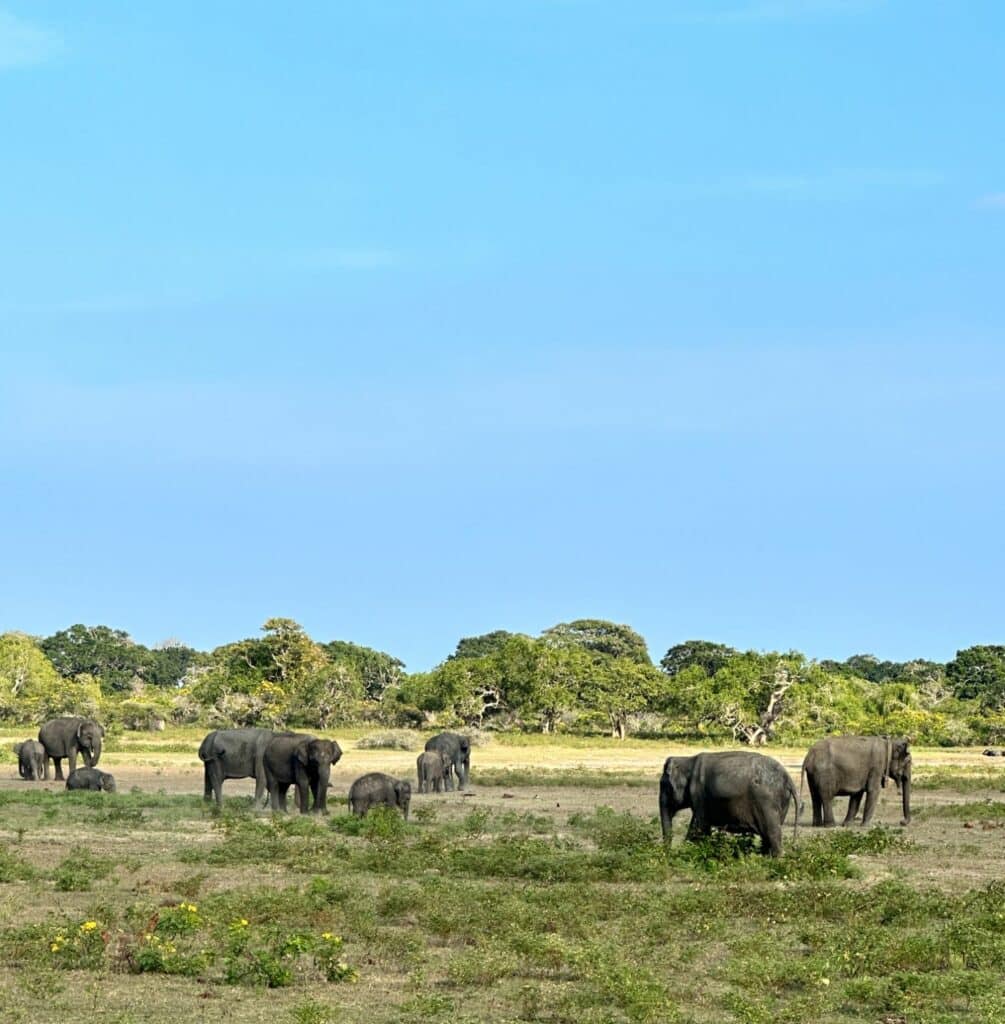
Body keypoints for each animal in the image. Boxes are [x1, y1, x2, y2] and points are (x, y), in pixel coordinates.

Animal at [659, 749, 799, 860]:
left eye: (664, 786)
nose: (667, 854)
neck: (687, 759)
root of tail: (787, 777)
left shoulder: (698, 793)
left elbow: (699, 827)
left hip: (767, 802)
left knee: (771, 833)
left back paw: (776, 861)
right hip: (781, 802)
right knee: (768, 836)